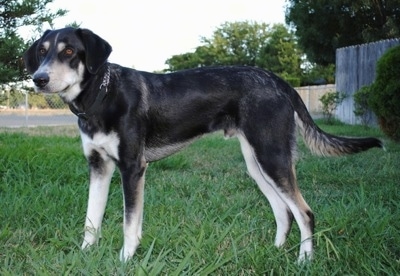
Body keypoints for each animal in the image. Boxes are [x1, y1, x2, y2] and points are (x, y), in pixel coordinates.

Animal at [23, 28, 382, 264]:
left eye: (69, 52)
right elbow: (91, 219)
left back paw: (304, 260)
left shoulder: (132, 168)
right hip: (257, 163)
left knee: (304, 213)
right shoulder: (98, 166)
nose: (39, 79)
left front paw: (125, 259)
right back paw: (276, 251)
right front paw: (85, 254)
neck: (101, 95)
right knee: (283, 211)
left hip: (272, 157)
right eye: (42, 51)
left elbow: (129, 222)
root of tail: (278, 81)